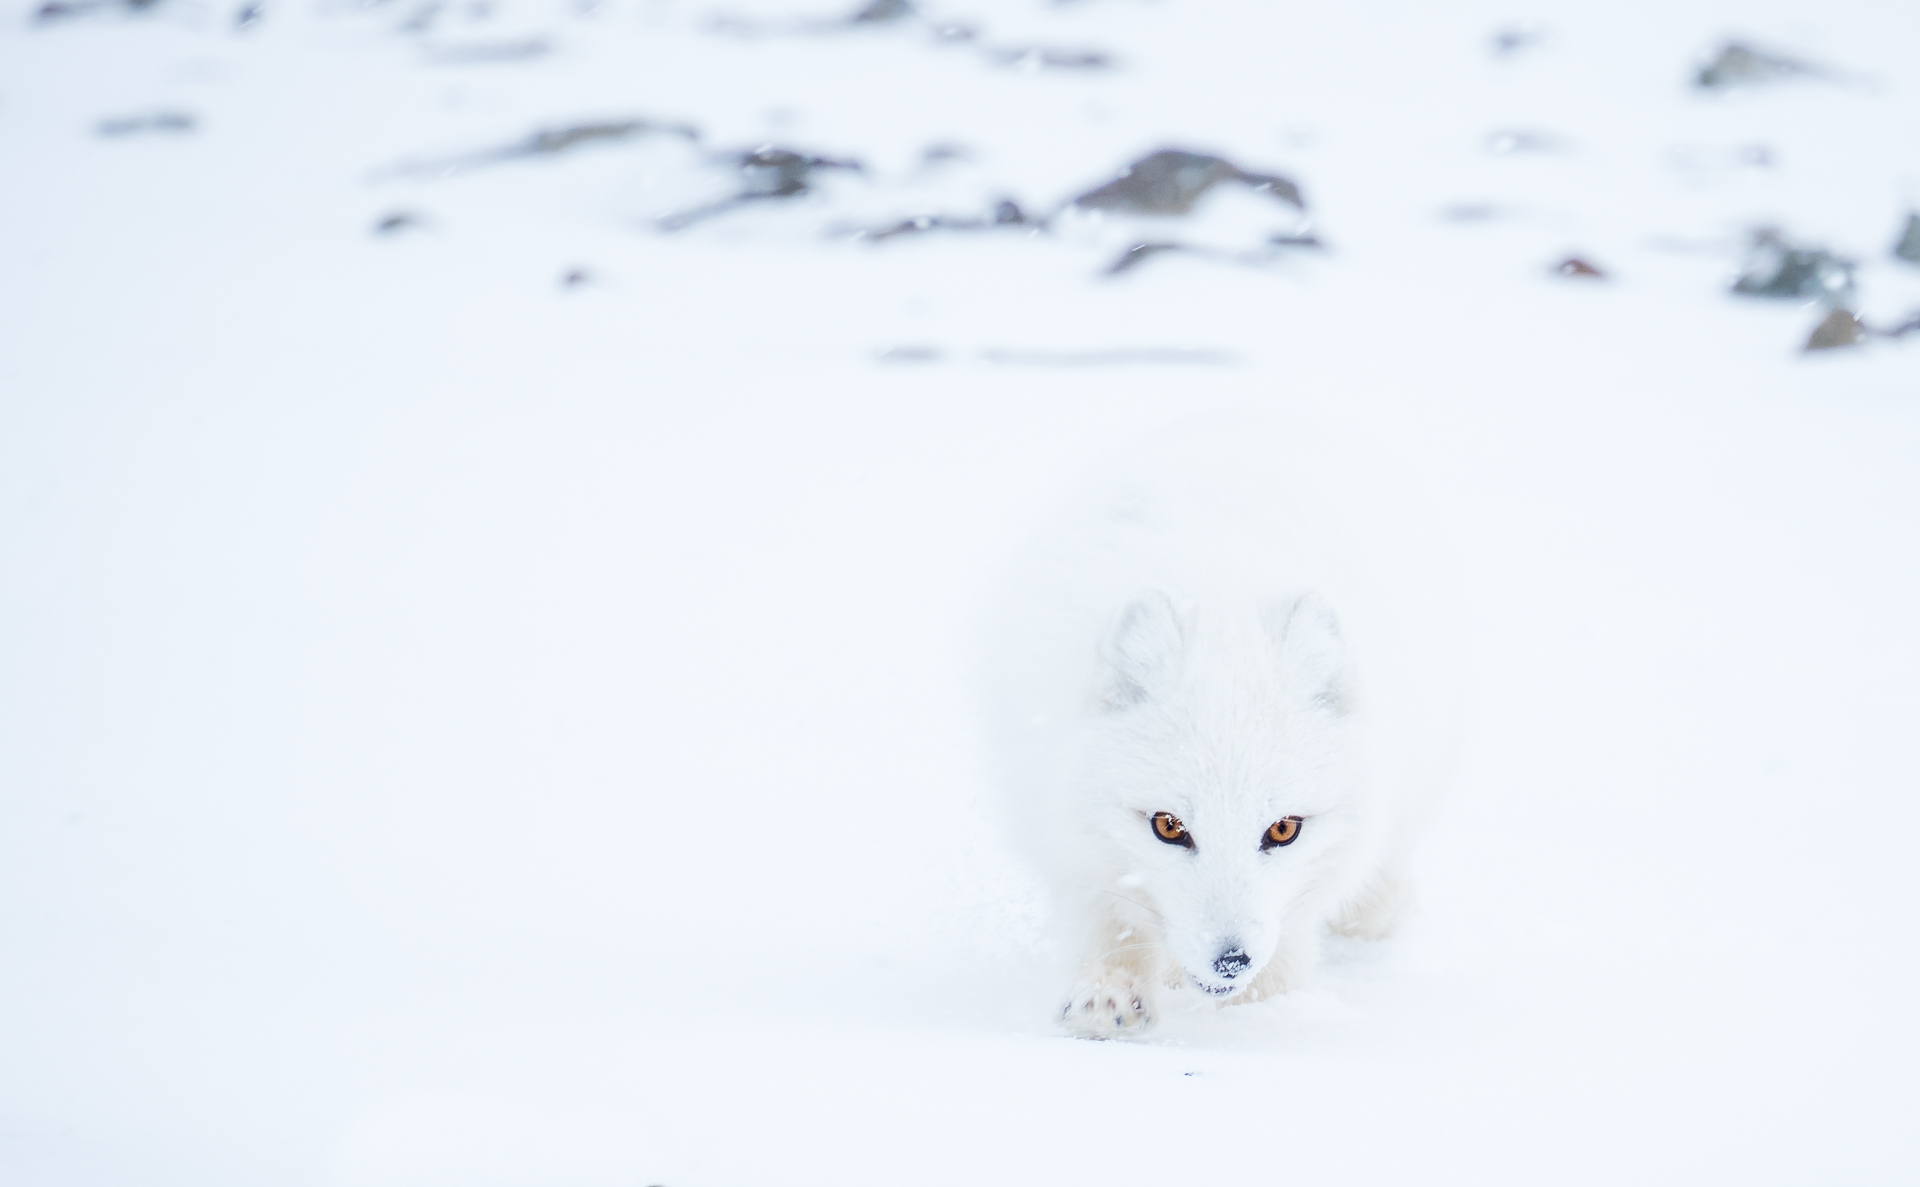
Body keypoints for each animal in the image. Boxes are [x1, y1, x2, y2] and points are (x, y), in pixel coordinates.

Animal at [983, 420, 1459, 1029]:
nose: (1231, 961)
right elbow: (1109, 920)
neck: (1220, 596)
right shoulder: (1065, 834)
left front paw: (1261, 1017)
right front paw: (1106, 994)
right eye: (1167, 826)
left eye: (1284, 829)